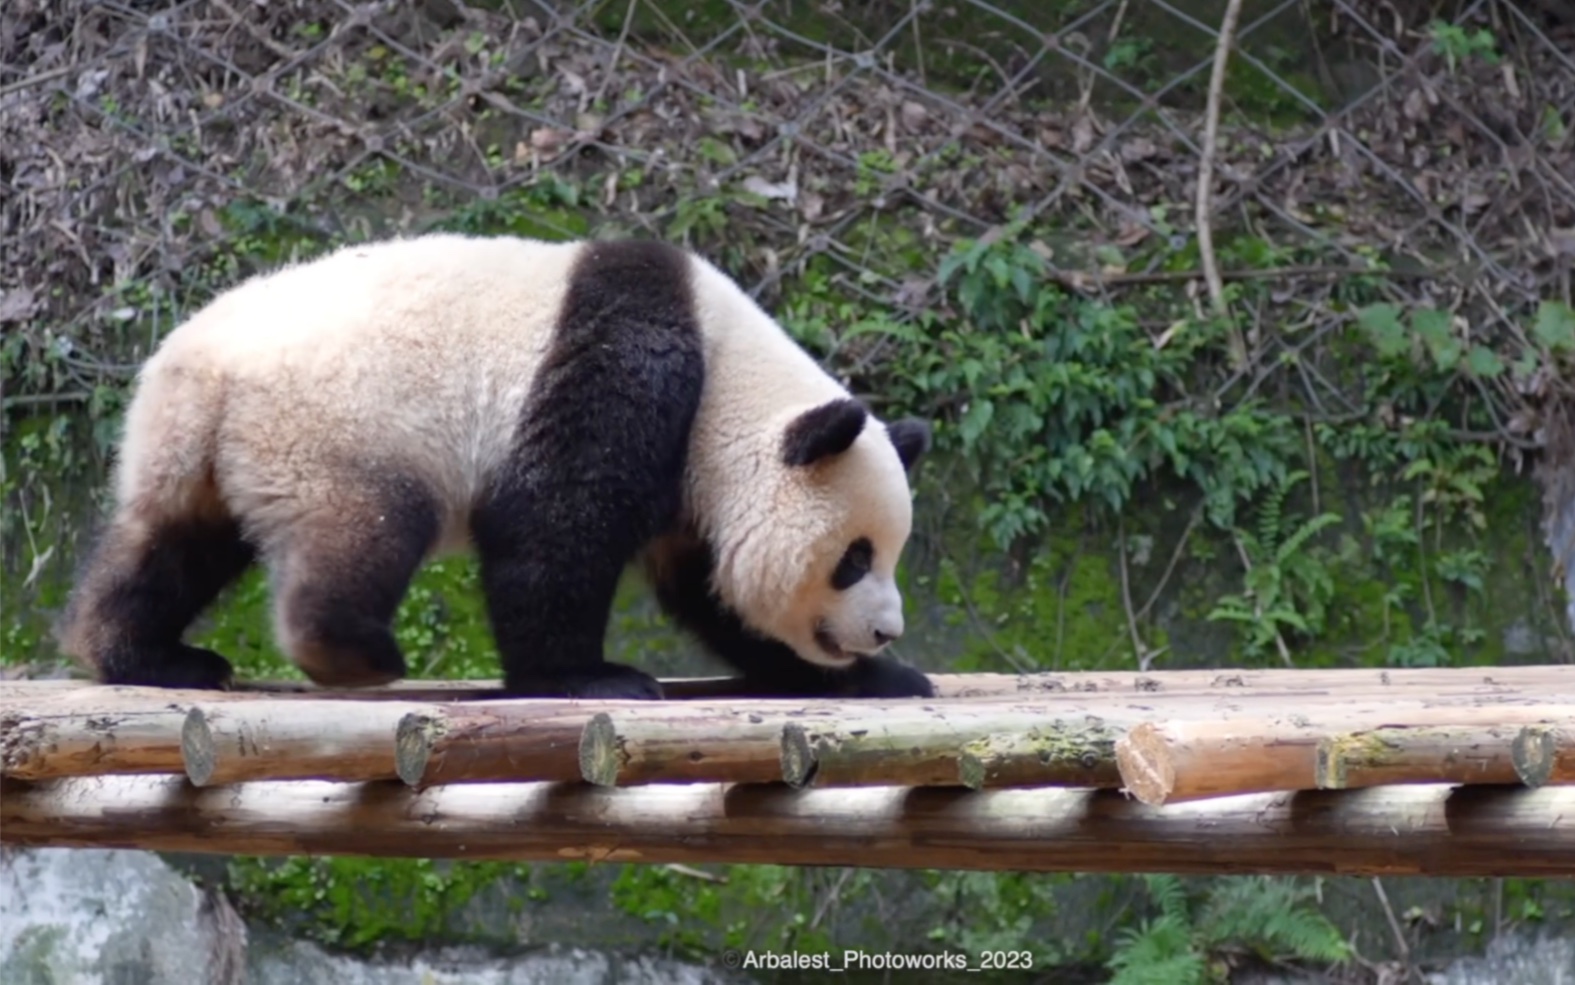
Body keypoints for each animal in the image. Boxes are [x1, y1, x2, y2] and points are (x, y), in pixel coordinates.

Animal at [55, 231, 926, 699]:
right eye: (854, 558)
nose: (885, 628)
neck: (732, 383)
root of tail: (202, 369)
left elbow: (713, 596)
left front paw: (881, 678)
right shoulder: (629, 373)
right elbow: (556, 526)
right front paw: (590, 676)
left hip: (197, 454)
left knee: (170, 544)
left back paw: (143, 654)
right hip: (340, 424)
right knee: (363, 529)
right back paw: (353, 652)